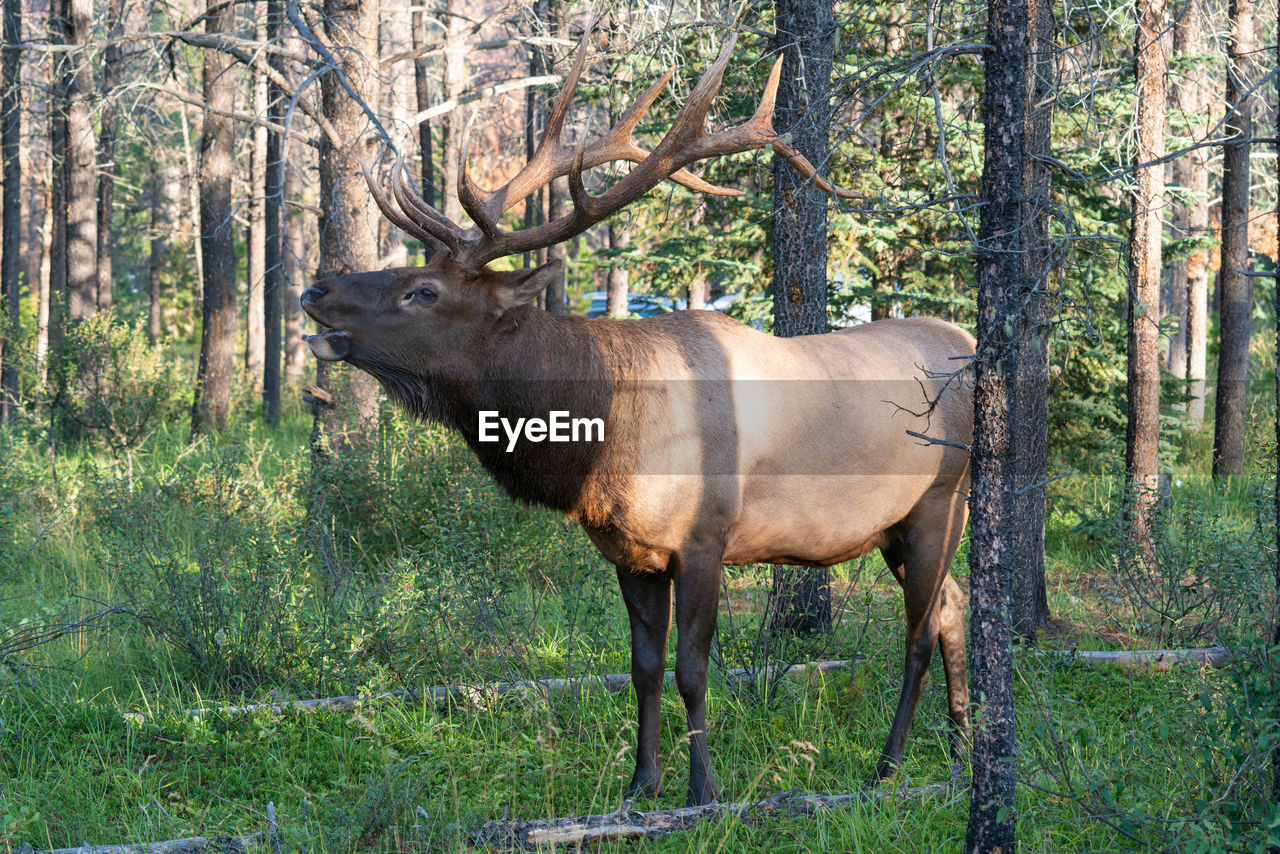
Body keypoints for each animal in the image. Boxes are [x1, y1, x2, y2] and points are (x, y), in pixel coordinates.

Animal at [302, 33, 977, 809]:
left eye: (423, 291)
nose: (314, 288)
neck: (602, 440)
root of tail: (970, 345)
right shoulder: (630, 552)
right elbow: (643, 666)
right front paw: (641, 783)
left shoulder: (706, 538)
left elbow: (692, 667)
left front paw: (703, 790)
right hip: (893, 528)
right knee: (955, 604)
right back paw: (961, 747)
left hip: (938, 502)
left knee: (919, 630)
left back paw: (891, 765)